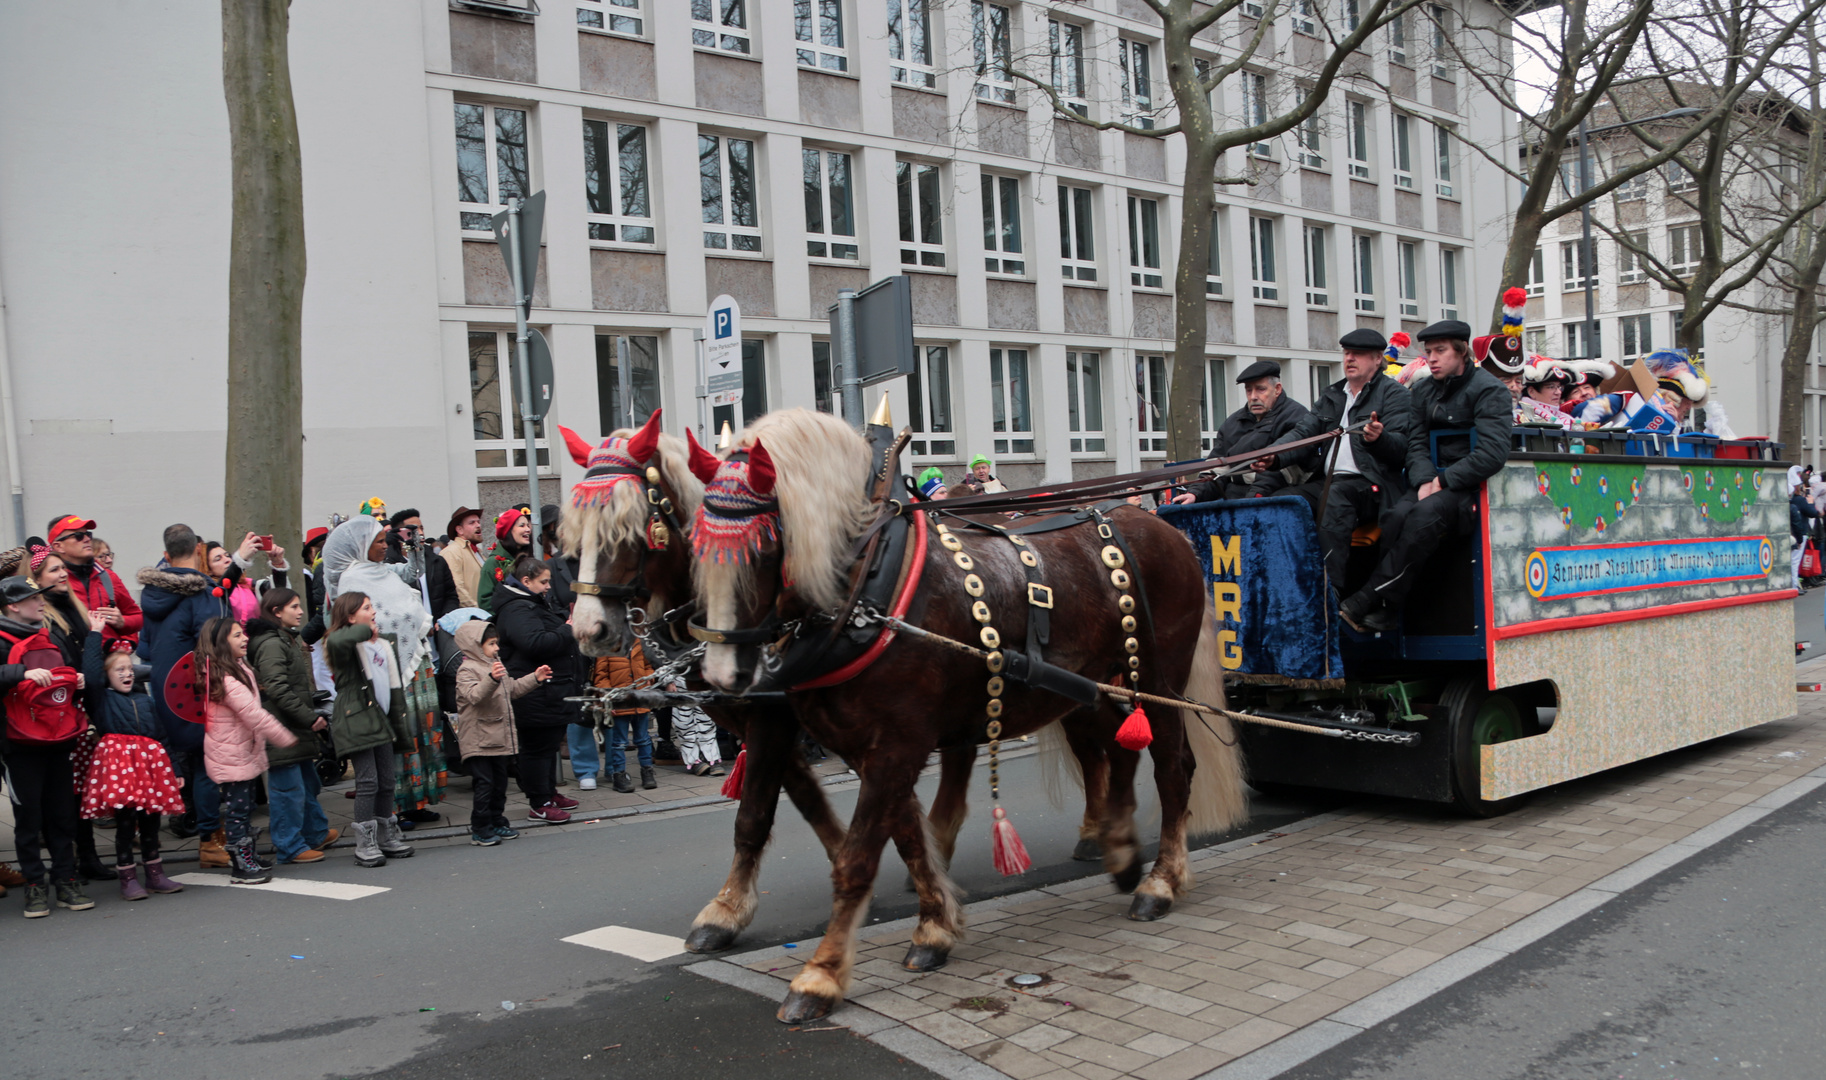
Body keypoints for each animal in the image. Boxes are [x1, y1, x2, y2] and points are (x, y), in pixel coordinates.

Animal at [690, 407, 1248, 1023]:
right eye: (693, 542)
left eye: (764, 546)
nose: (721, 677)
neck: (870, 589)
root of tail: (1165, 528)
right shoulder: (869, 746)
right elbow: (902, 836)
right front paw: (935, 927)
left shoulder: (895, 745)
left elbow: (858, 858)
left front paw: (821, 975)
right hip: (1094, 684)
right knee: (1116, 747)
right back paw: (1121, 850)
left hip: (1158, 680)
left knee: (1173, 768)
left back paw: (1160, 882)